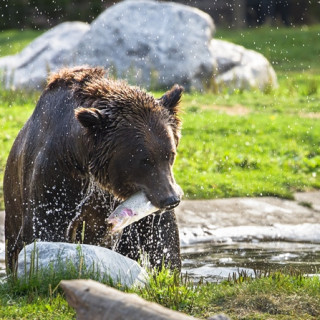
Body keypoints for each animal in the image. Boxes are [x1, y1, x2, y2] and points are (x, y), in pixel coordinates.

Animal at [3, 66, 182, 272]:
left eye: (170, 154)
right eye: (144, 160)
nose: (171, 199)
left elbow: (162, 239)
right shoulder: (55, 174)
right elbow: (46, 223)